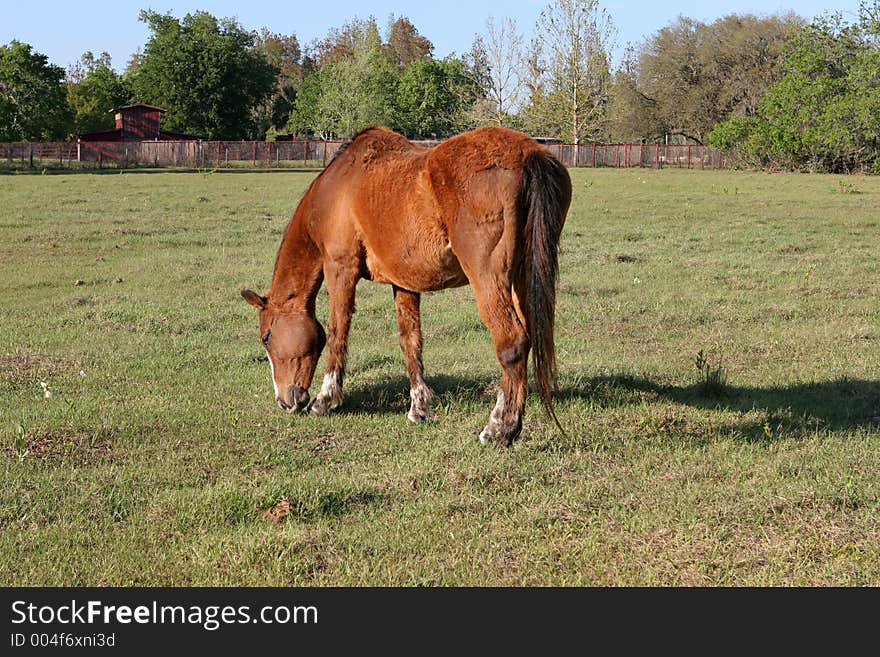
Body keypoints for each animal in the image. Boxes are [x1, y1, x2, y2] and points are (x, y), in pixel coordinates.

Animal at [241, 125, 572, 446]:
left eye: (266, 338)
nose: (285, 401)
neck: (337, 187)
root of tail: (527, 152)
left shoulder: (340, 269)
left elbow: (337, 332)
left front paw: (325, 400)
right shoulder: (404, 283)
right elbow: (410, 340)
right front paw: (418, 407)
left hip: (490, 280)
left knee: (512, 343)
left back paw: (501, 429)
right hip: (521, 278)